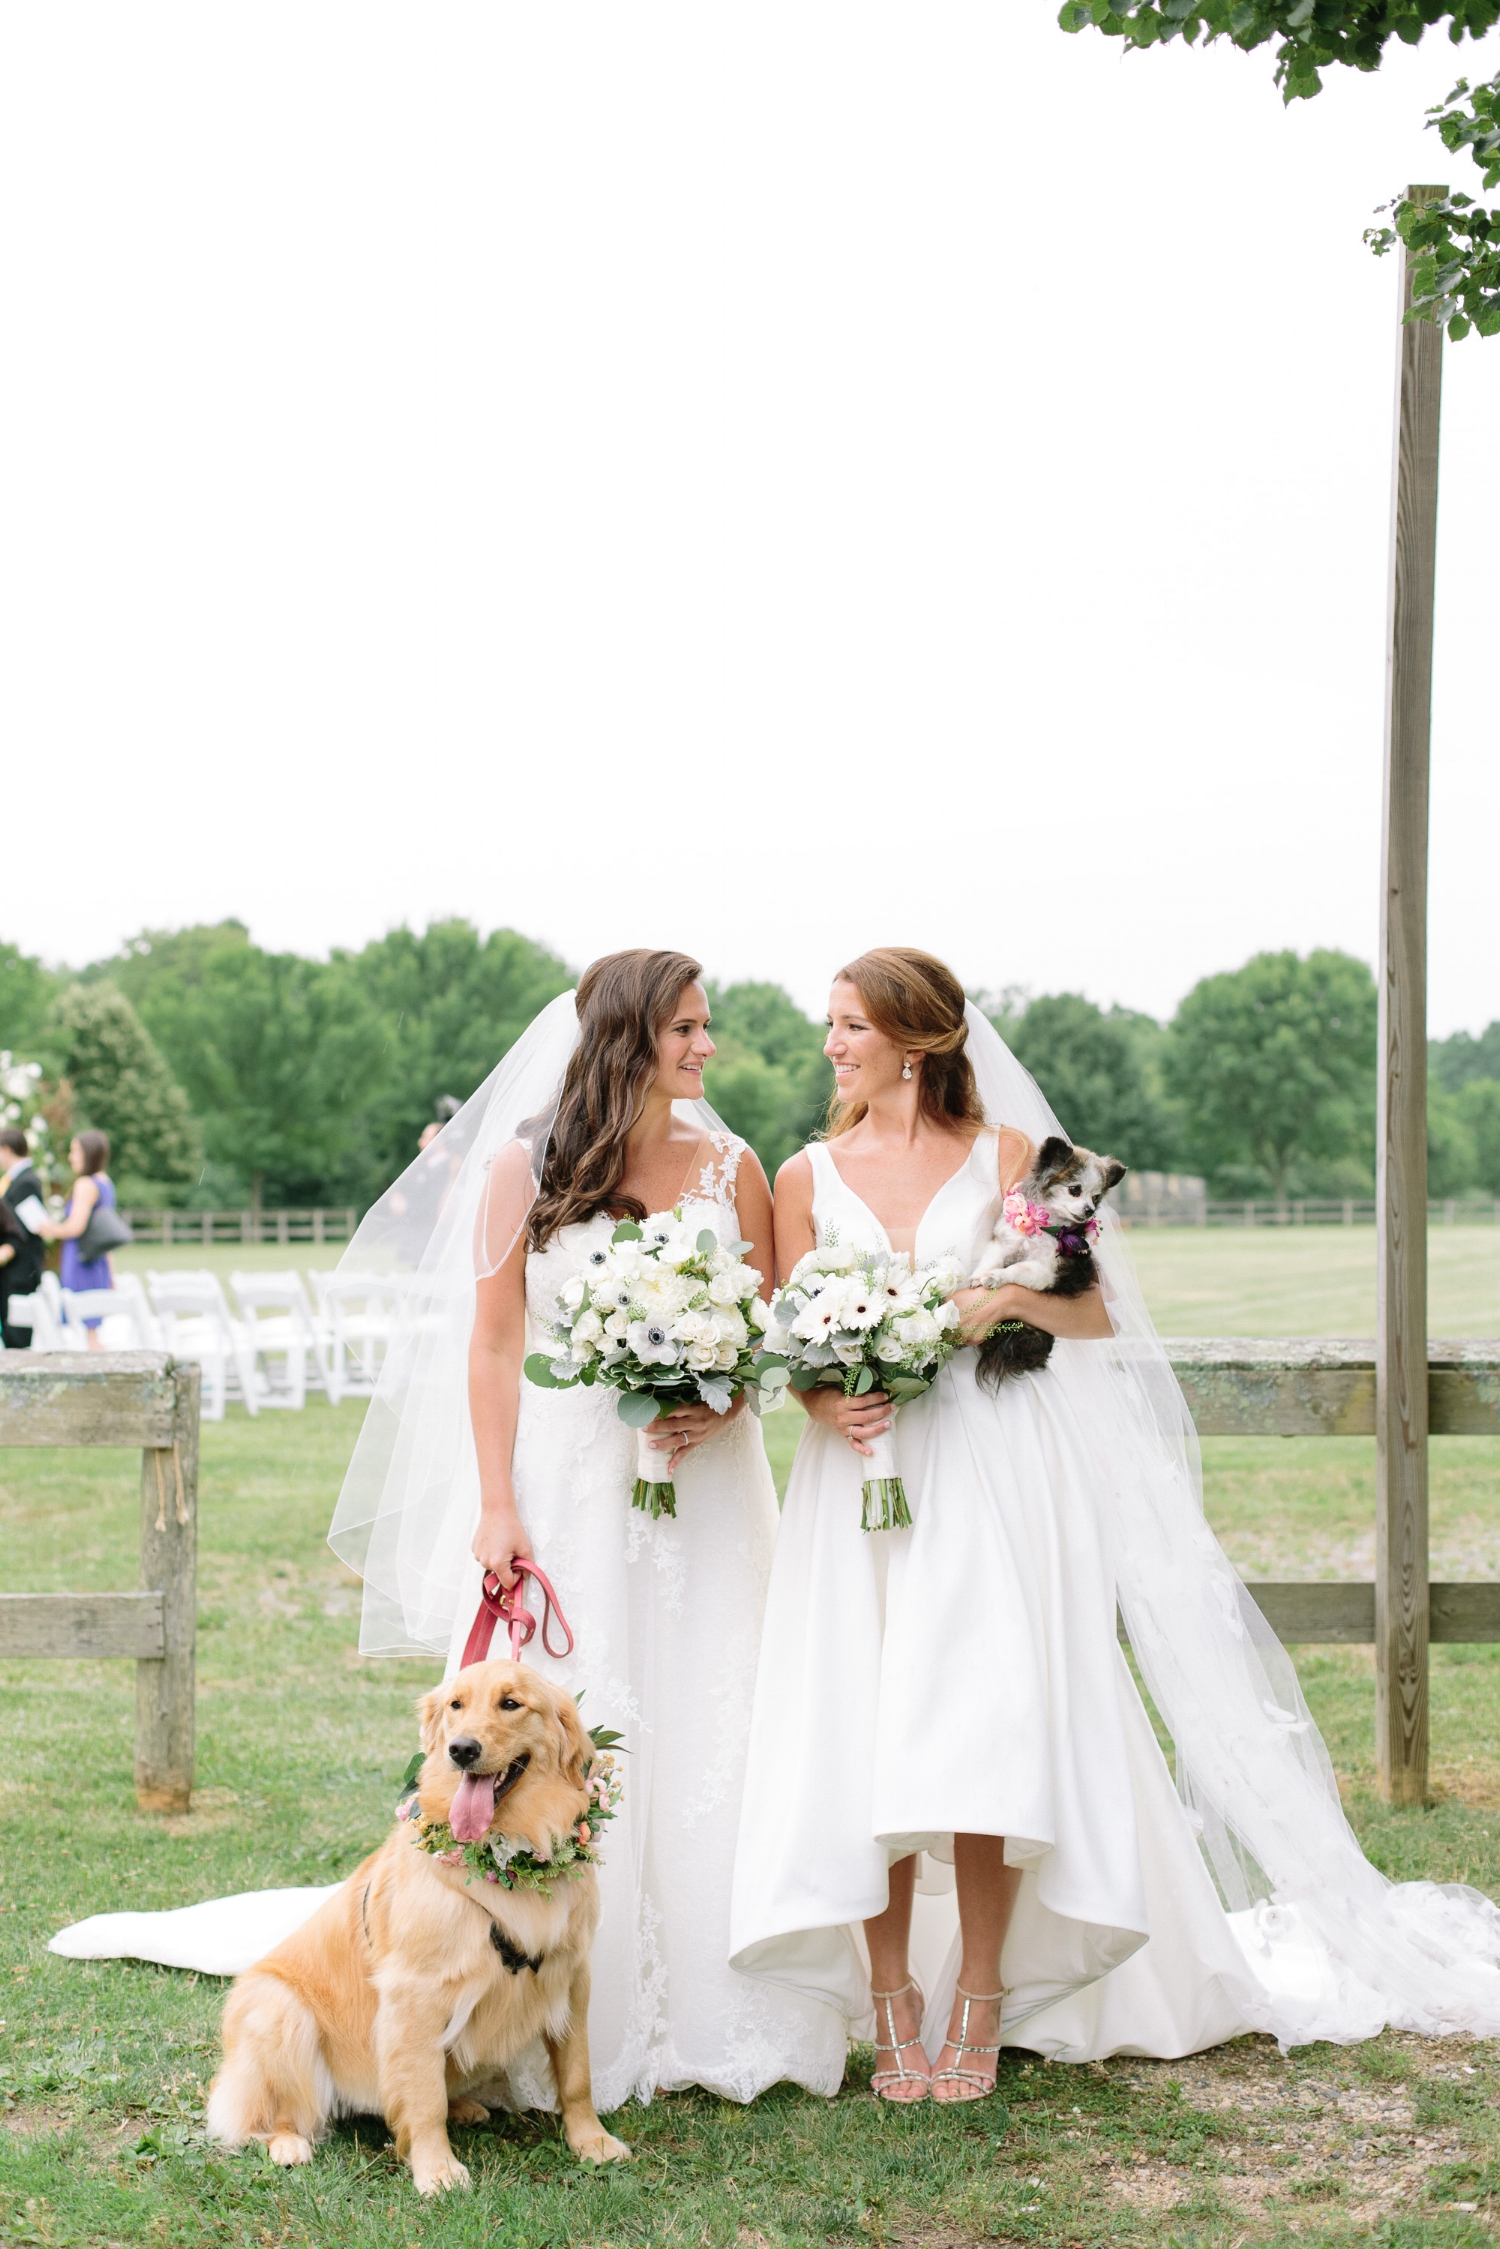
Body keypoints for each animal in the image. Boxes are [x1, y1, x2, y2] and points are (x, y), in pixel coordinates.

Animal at [205, 1664, 629, 2186]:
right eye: (456, 1705)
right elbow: (423, 2097)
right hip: (277, 2007)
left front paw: (592, 2140)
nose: (461, 1749)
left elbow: (576, 2075)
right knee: (274, 2109)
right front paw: (437, 2170)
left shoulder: (570, 1976)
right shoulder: (415, 1993)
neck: (511, 1854)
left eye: (511, 1703)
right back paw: (287, 2142)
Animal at [976, 1124, 1124, 1385]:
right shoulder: (1005, 1241)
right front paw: (981, 1274)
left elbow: (1016, 1269)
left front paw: (996, 1277)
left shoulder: (1046, 1272)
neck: (1042, 1228)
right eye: (1075, 1190)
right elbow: (992, 1259)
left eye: (1096, 1197)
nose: (1089, 1210)